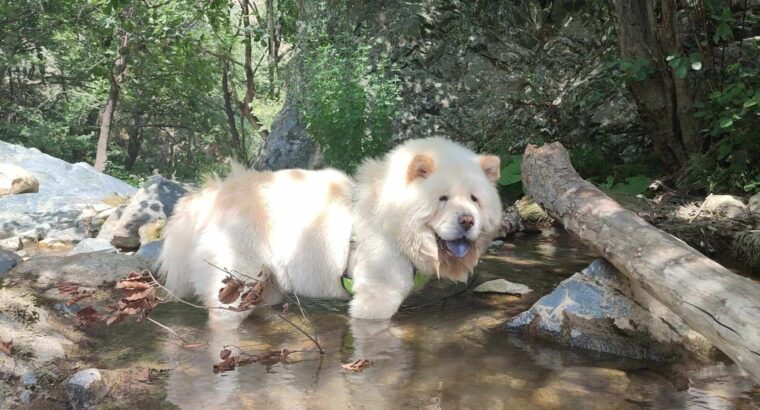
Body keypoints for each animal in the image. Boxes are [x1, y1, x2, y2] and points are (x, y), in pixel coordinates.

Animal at [159, 138, 504, 324]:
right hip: (235, 275)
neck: (391, 217)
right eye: (442, 198)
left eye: (474, 199)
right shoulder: (378, 289)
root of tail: (211, 195)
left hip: (266, 281)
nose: (467, 221)